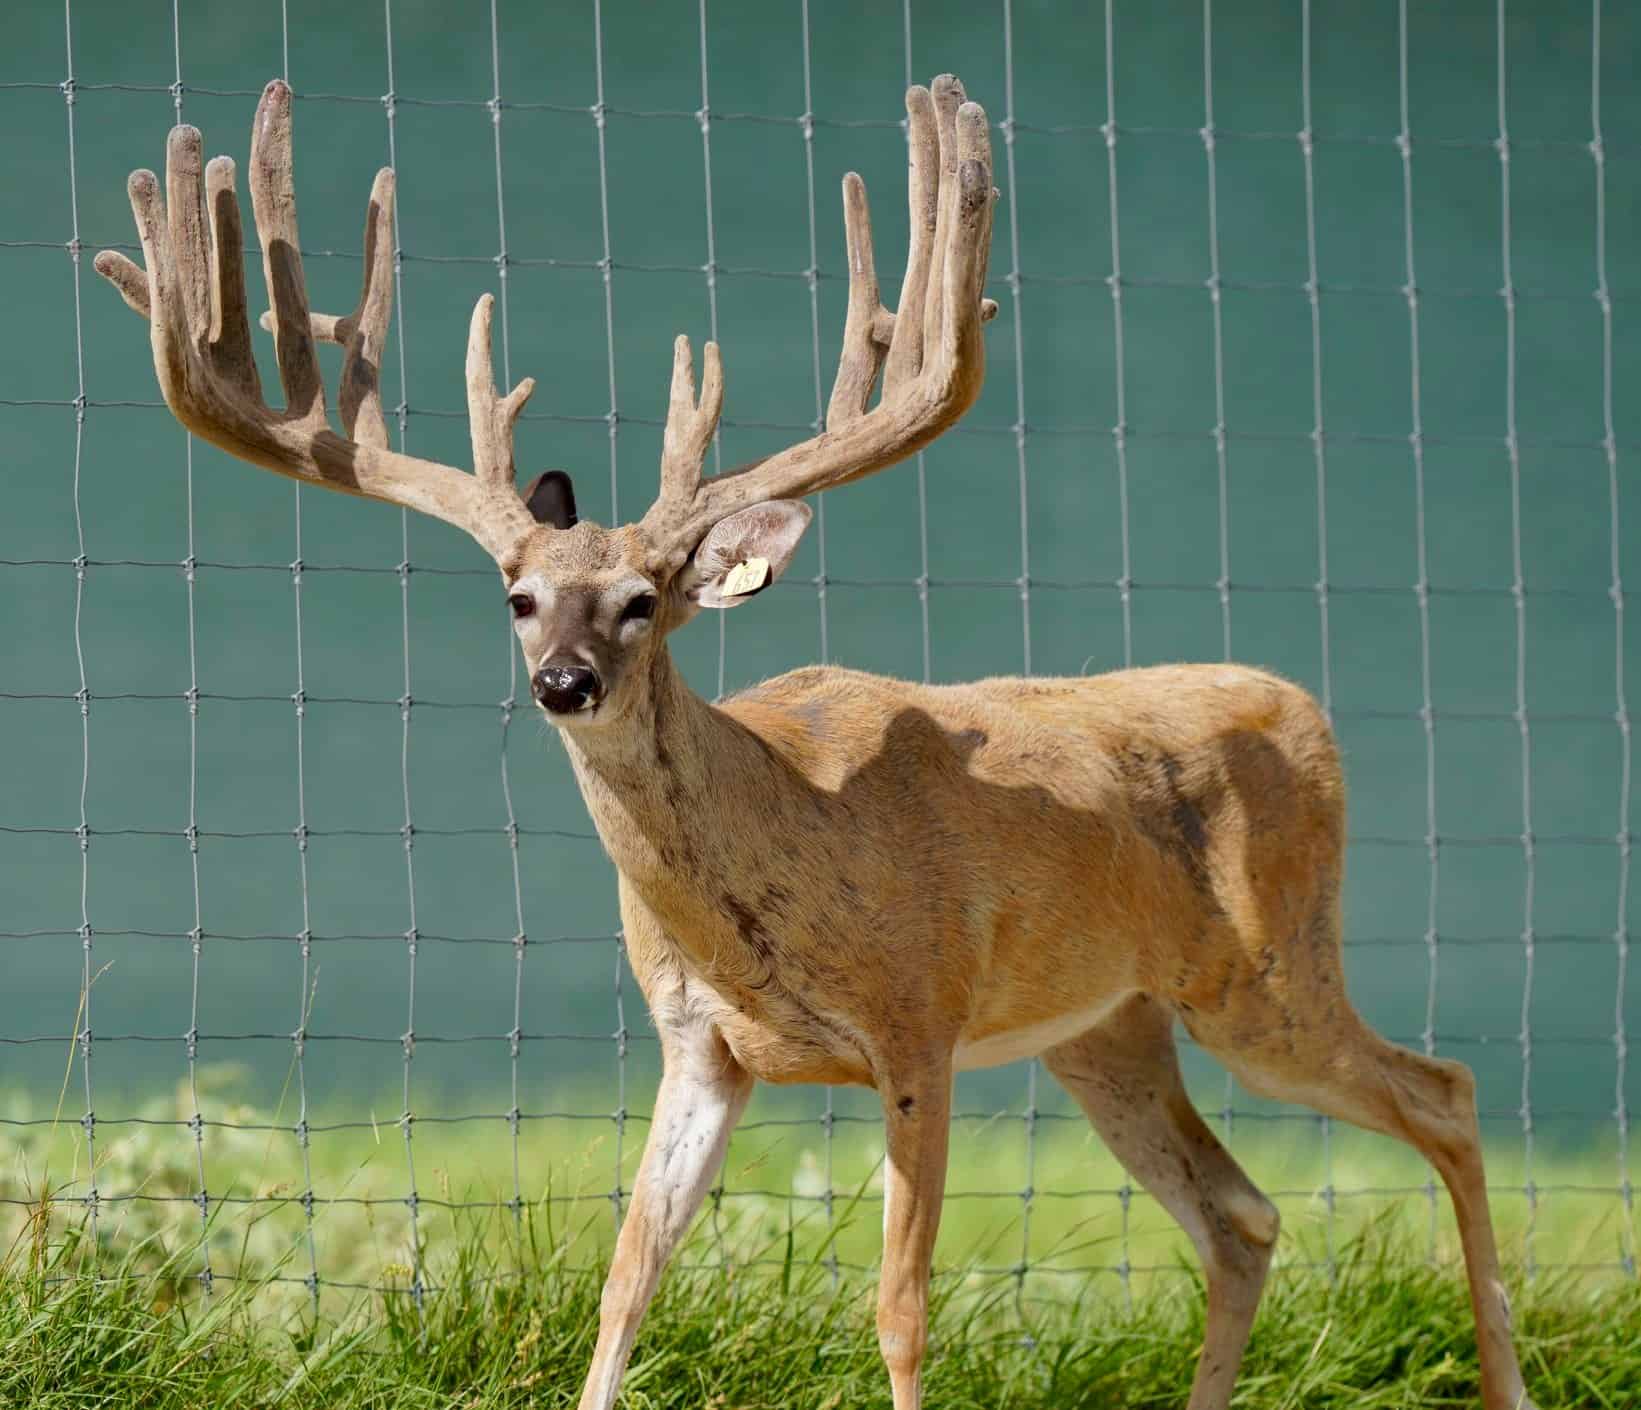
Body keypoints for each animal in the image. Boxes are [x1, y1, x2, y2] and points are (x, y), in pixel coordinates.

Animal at [94, 75, 1539, 1410]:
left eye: (642, 600)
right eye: (519, 597)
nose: (564, 681)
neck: (778, 840)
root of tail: (1303, 705)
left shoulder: (920, 1020)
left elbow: (900, 1309)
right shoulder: (700, 1046)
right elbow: (626, 1281)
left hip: (1264, 970)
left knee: (1446, 1094)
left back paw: (1506, 1376)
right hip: (1108, 1027)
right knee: (1242, 1213)